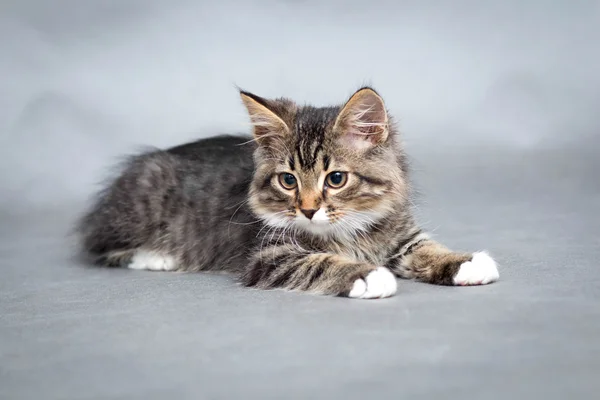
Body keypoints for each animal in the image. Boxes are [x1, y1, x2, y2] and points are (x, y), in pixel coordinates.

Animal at [77, 88, 500, 300]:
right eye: (288, 181)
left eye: (336, 179)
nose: (309, 210)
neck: (349, 232)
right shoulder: (268, 255)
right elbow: (321, 262)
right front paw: (367, 275)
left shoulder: (399, 234)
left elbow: (427, 248)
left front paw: (465, 263)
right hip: (141, 197)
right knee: (97, 246)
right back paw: (158, 256)